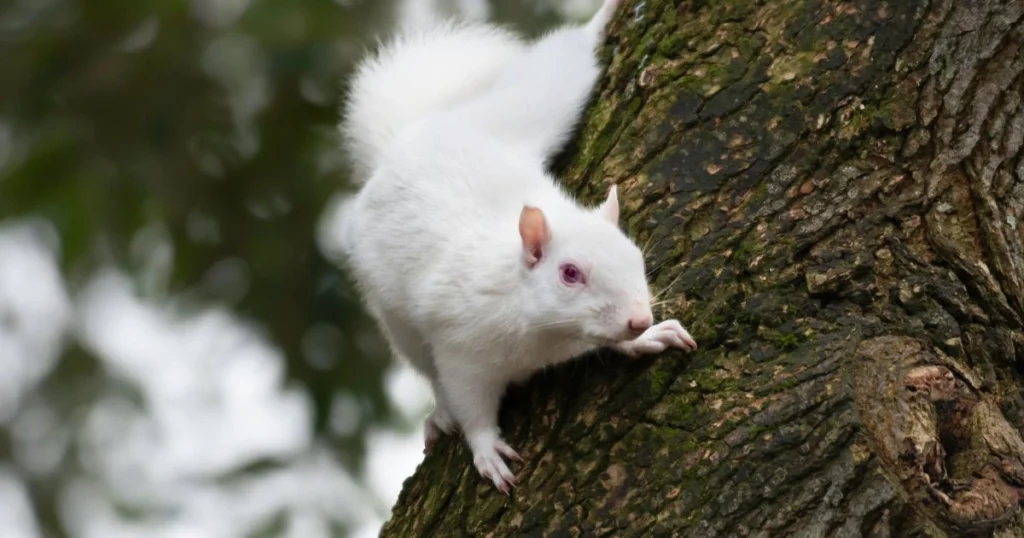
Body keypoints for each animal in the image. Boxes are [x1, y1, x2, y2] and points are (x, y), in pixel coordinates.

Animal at [335, 0, 696, 493]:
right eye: (569, 273)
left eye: (636, 258)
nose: (639, 318)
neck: (548, 334)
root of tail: (409, 139)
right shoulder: (462, 348)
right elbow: (471, 405)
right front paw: (486, 450)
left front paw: (647, 338)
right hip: (399, 323)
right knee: (428, 372)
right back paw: (439, 414)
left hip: (540, 102)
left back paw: (600, 21)